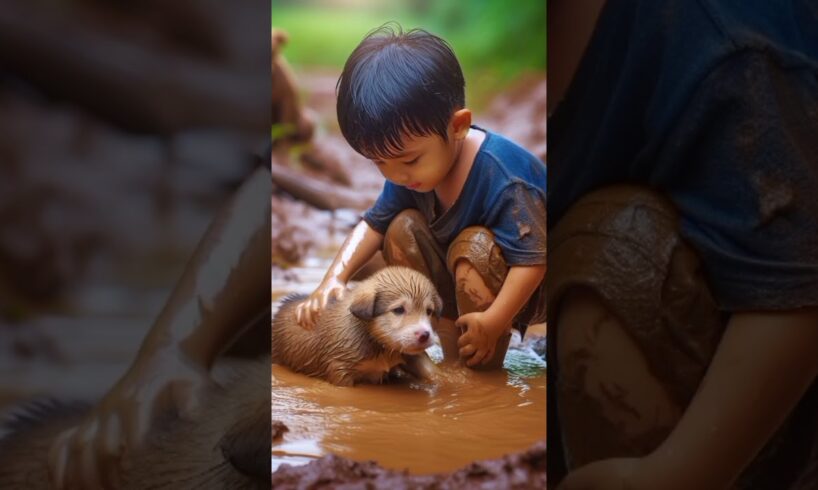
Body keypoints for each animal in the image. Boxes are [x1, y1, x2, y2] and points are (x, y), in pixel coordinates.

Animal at [272, 268, 440, 386]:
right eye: (398, 310)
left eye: (429, 311)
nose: (425, 335)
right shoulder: (339, 369)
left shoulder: (409, 354)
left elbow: (429, 371)